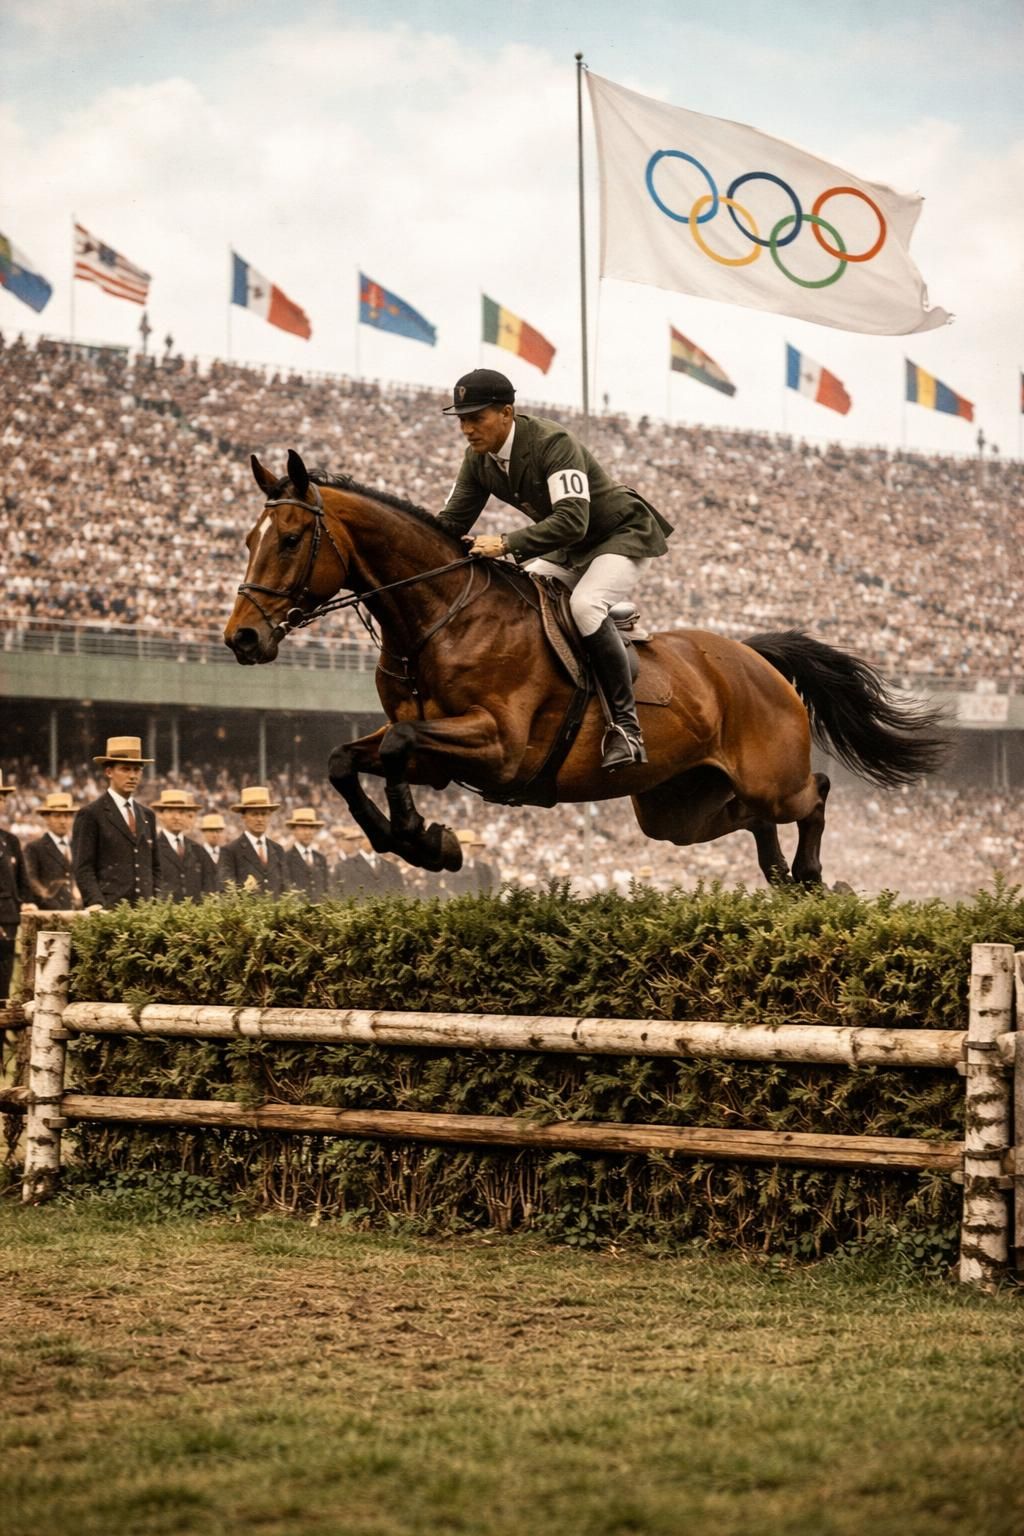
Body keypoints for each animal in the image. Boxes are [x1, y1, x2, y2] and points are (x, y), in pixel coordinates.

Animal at [224, 449, 947, 884]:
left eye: (290, 539)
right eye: (248, 539)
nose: (241, 639)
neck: (436, 617)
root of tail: (754, 657)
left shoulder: (498, 745)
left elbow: (398, 745)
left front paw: (423, 839)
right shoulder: (432, 749)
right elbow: (347, 761)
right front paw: (420, 841)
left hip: (769, 775)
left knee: (813, 793)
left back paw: (812, 877)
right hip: (675, 808)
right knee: (749, 817)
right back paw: (781, 877)